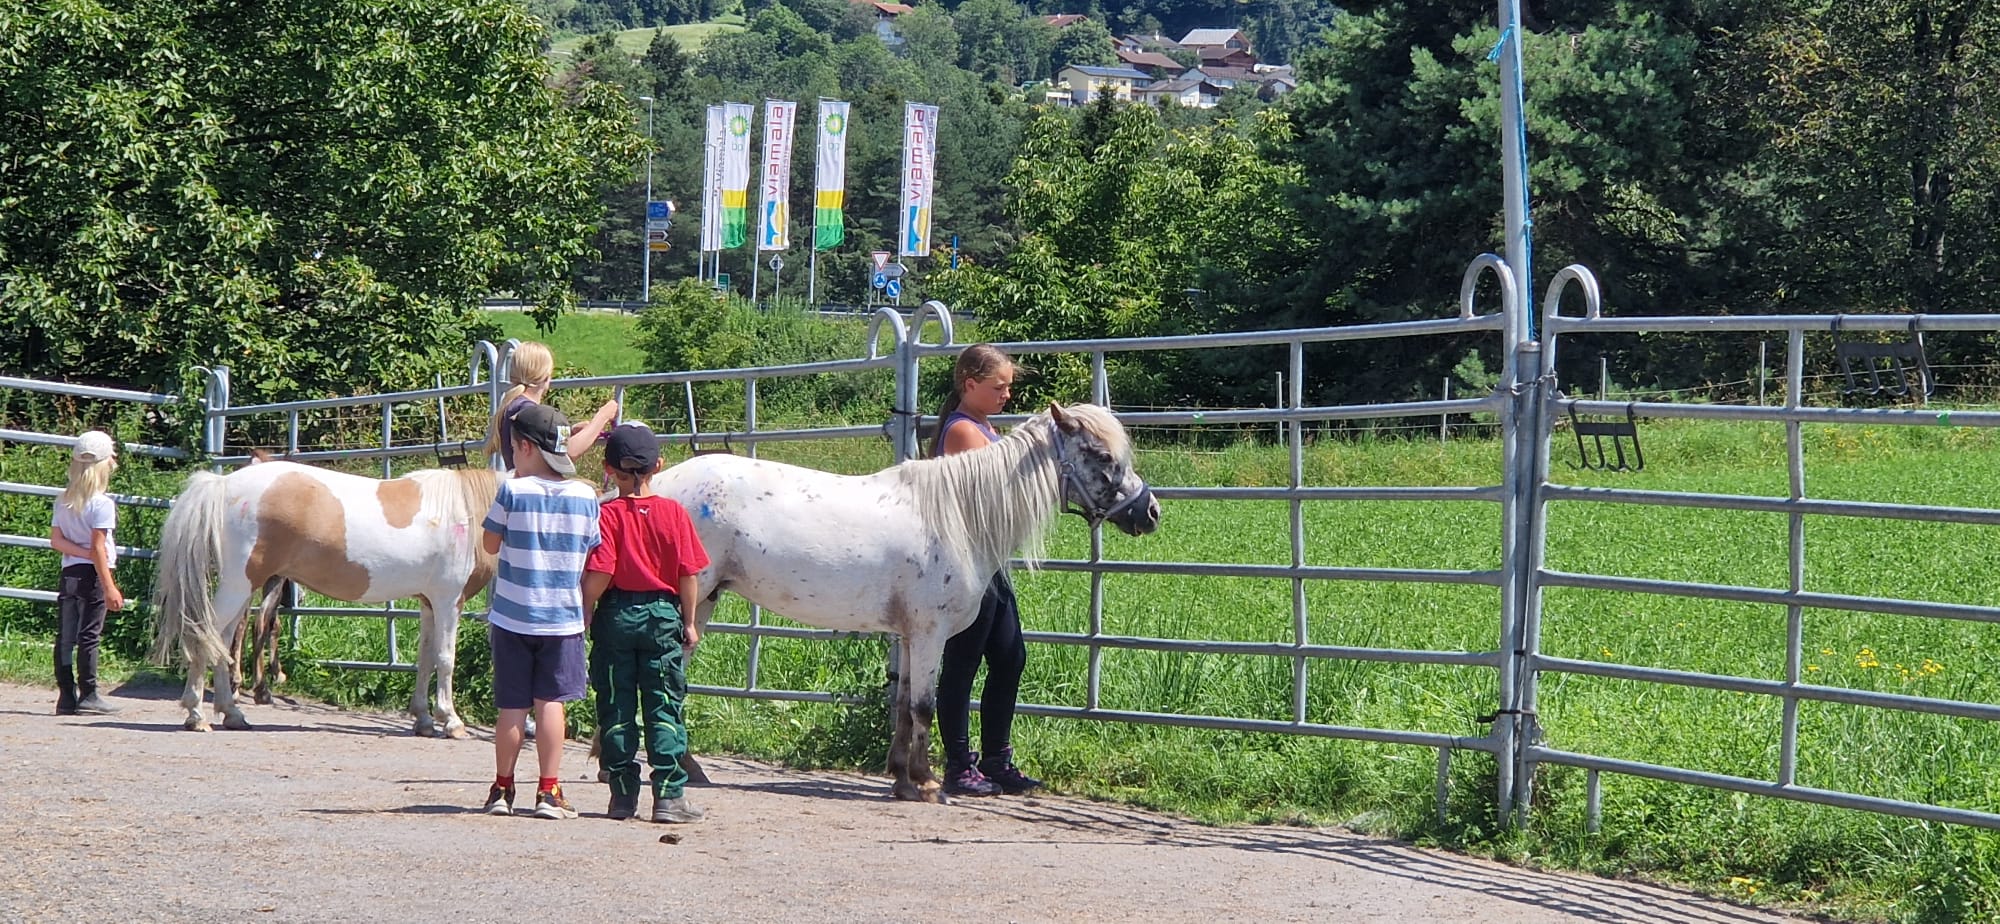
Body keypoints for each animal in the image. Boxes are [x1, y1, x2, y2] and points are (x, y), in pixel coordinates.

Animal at [150, 461, 499, 736]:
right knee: (203, 637)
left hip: (243, 589)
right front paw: (451, 721)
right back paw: (196, 715)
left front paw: (424, 719)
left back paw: (232, 714)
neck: (467, 513)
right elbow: (445, 659)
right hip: (240, 584)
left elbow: (425, 659)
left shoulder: (428, 603)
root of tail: (222, 486)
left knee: (221, 641)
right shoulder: (448, 600)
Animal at [655, 402, 1160, 802]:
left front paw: (901, 779)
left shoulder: (909, 636)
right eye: (1103, 456)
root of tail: (657, 486)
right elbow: (924, 706)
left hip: (703, 603)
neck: (958, 516)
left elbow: (901, 704)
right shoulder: (930, 633)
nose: (1150, 511)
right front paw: (928, 783)